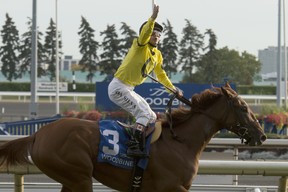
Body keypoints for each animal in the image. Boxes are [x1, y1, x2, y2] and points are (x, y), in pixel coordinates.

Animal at [0, 83, 266, 192]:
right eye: (243, 107)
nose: (262, 135)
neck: (180, 141)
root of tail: (39, 133)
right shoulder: (171, 186)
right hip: (79, 177)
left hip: (71, 179)